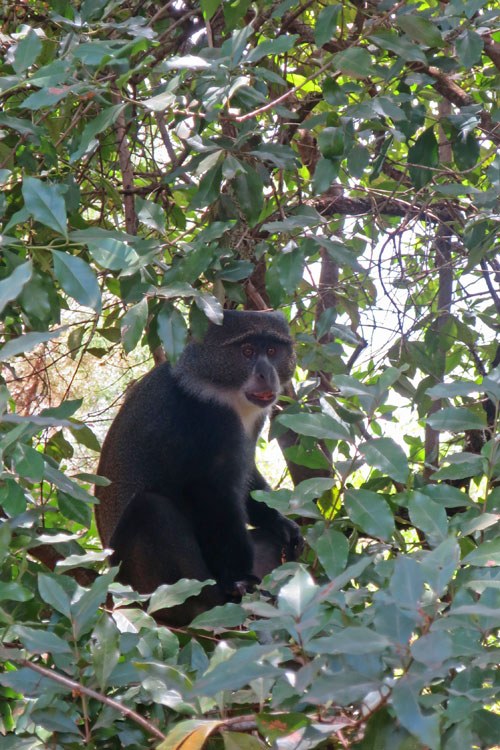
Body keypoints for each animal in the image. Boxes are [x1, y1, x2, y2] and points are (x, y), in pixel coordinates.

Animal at [95, 310, 303, 625]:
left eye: (271, 351)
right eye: (247, 351)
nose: (266, 374)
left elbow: (246, 480)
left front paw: (281, 522)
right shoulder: (204, 418)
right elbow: (210, 495)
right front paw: (238, 580)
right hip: (140, 579)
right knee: (150, 507)